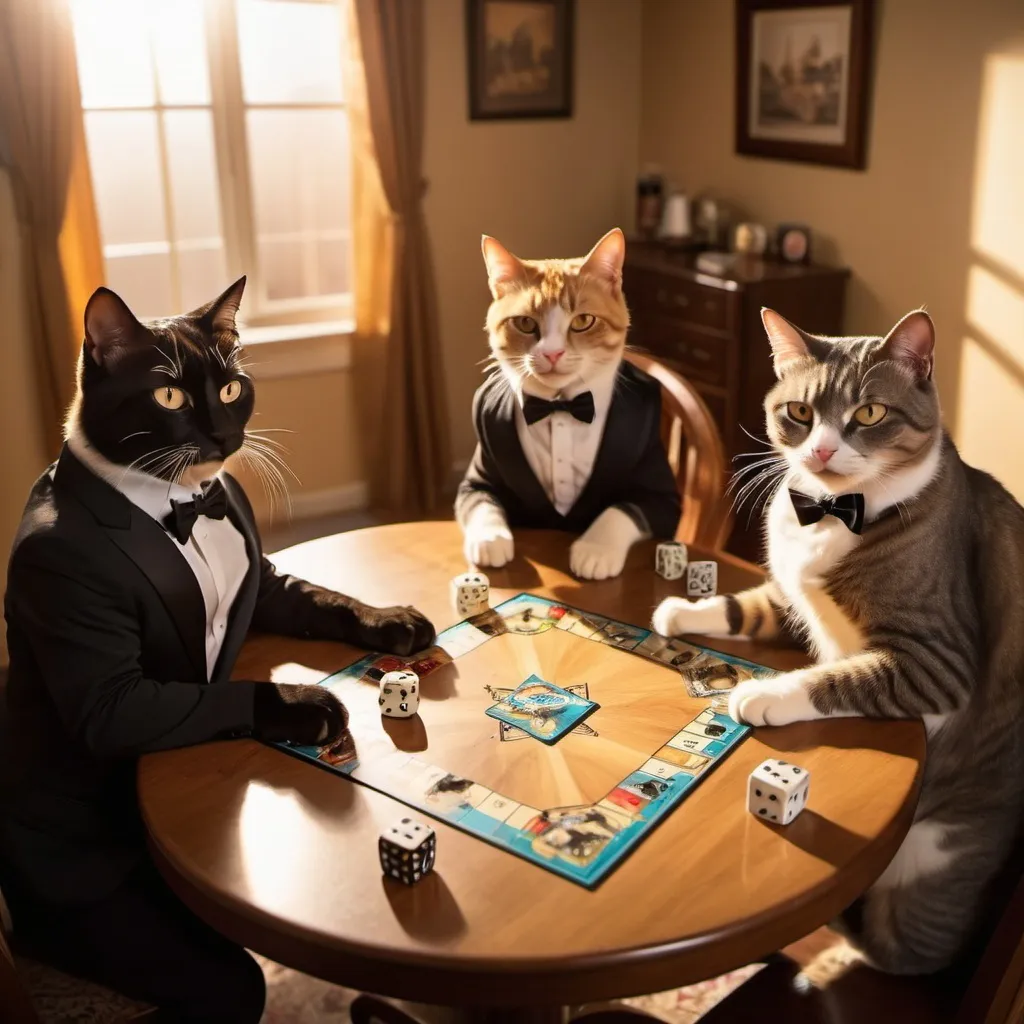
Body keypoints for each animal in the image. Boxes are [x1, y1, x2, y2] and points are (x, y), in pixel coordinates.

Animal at [0, 276, 432, 1019]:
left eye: (231, 387)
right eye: (170, 396)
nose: (224, 434)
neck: (183, 504)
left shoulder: (263, 584)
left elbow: (329, 600)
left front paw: (392, 623)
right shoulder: (111, 701)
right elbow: (217, 693)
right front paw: (309, 704)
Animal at [454, 229, 679, 581]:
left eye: (583, 320)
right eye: (525, 323)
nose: (552, 353)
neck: (560, 407)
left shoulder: (661, 495)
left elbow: (621, 510)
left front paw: (595, 550)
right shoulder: (477, 477)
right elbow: (482, 503)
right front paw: (491, 538)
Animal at [655, 305, 1024, 974]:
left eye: (870, 413)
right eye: (800, 412)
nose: (823, 448)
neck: (831, 512)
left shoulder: (939, 662)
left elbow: (843, 675)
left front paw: (763, 695)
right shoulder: (788, 593)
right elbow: (749, 604)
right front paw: (681, 610)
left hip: (927, 873)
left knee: (896, 950)